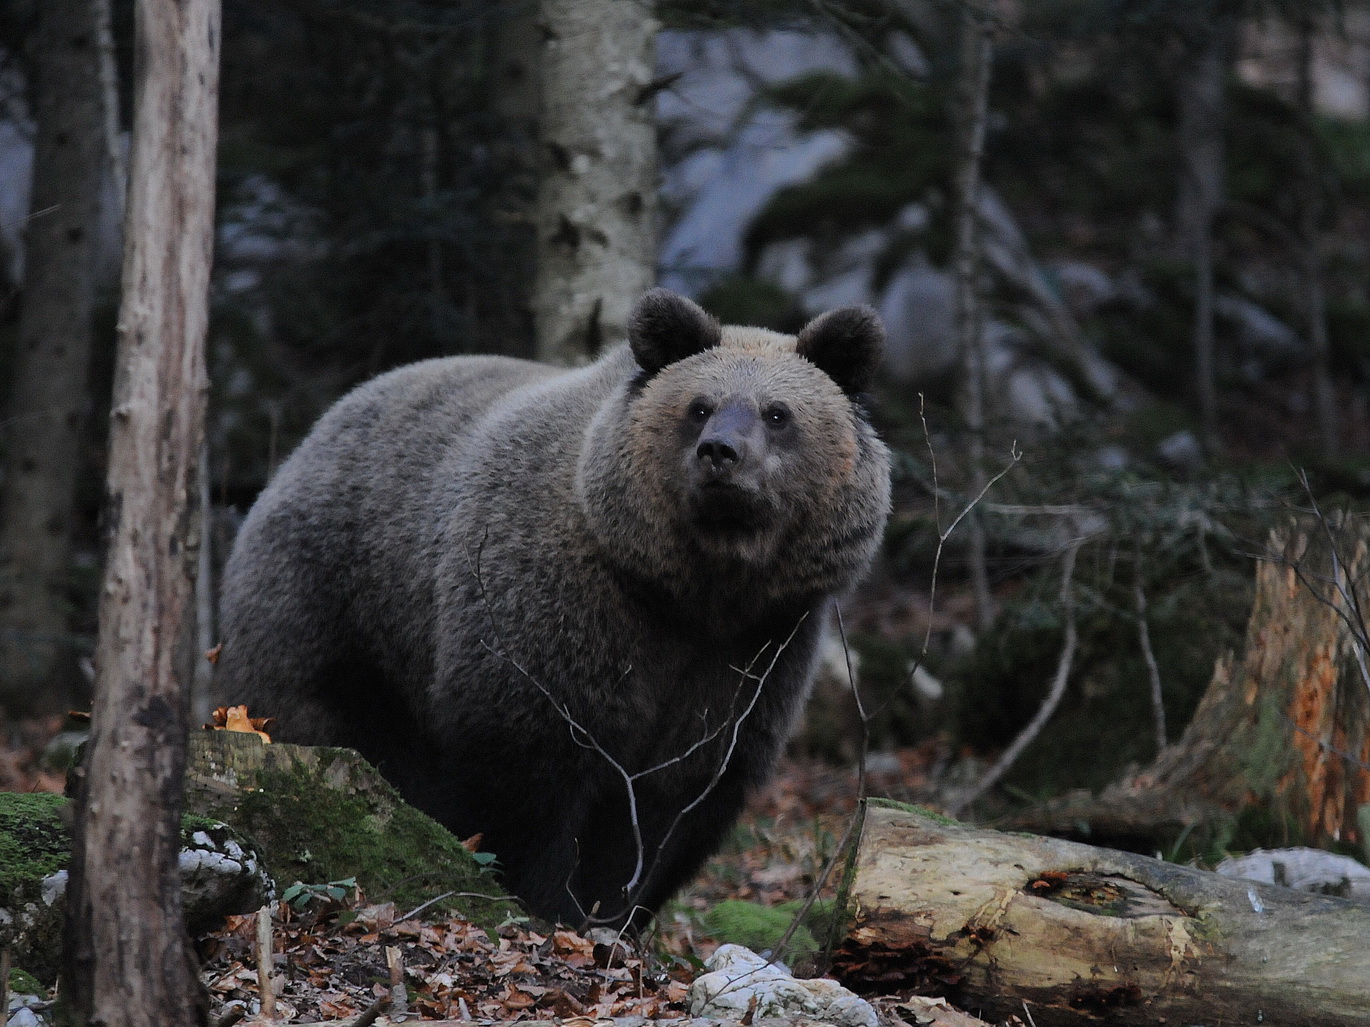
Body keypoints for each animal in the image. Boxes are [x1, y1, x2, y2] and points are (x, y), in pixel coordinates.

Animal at [216, 287, 887, 925]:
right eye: (699, 404)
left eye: (778, 413)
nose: (721, 452)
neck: (690, 591)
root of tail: (313, 433)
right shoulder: (560, 610)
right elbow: (533, 767)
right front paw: (552, 900)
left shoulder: (757, 649)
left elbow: (681, 796)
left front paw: (614, 911)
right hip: (332, 601)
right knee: (319, 715)